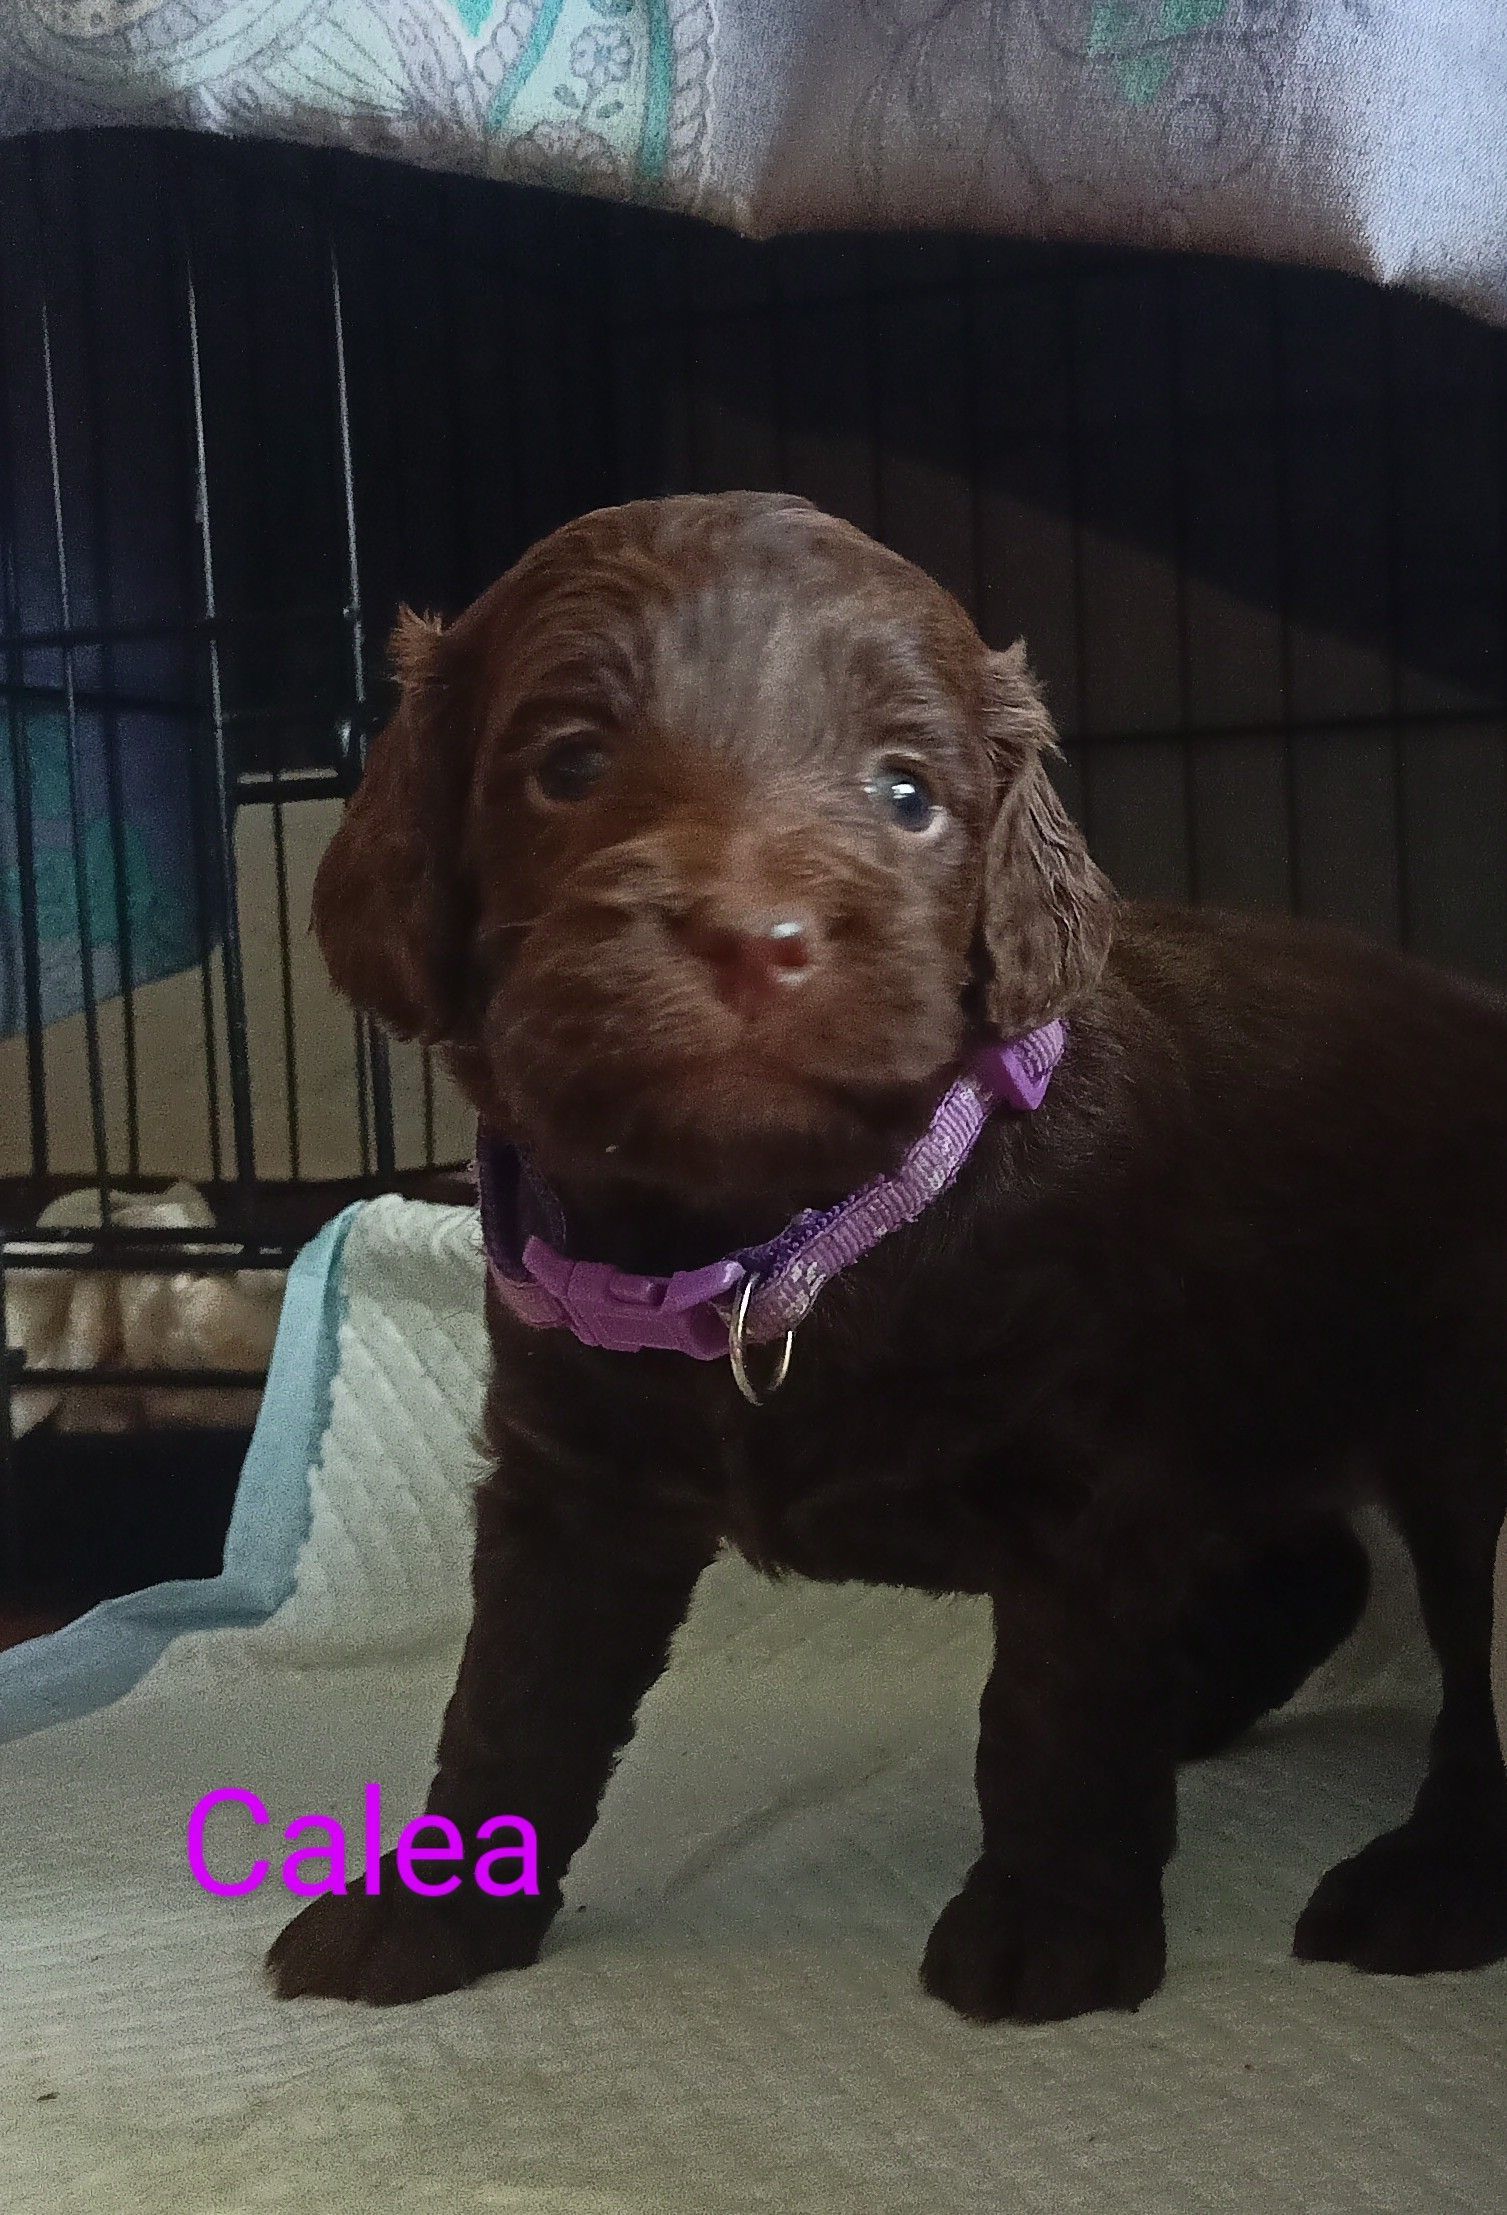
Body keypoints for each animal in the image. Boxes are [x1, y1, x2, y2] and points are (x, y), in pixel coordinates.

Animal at [268, 491, 1507, 2020]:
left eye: (906, 792)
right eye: (567, 764)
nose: (753, 940)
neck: (781, 1239)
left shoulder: (1082, 1480)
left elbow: (1051, 1706)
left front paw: (1048, 1927)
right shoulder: (571, 1476)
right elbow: (511, 1701)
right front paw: (431, 1910)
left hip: (1451, 1425)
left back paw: (1426, 1878)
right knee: (1313, 1571)